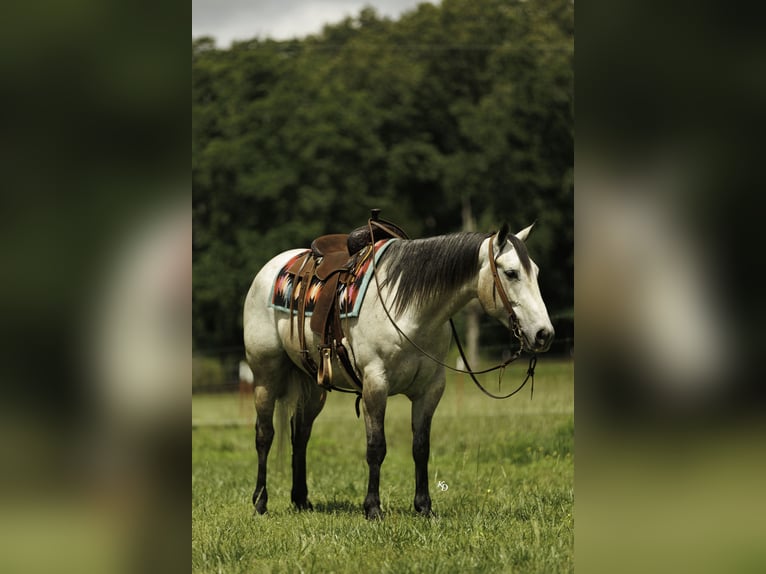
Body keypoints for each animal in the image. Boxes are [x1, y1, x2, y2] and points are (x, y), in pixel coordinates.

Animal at [242, 222, 554, 519]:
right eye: (511, 273)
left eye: (537, 272)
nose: (544, 334)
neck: (411, 312)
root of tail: (271, 268)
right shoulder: (375, 385)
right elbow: (376, 447)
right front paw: (372, 508)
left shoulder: (430, 390)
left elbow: (421, 448)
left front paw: (424, 507)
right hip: (266, 375)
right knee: (264, 434)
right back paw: (260, 503)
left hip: (314, 385)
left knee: (300, 434)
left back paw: (301, 500)